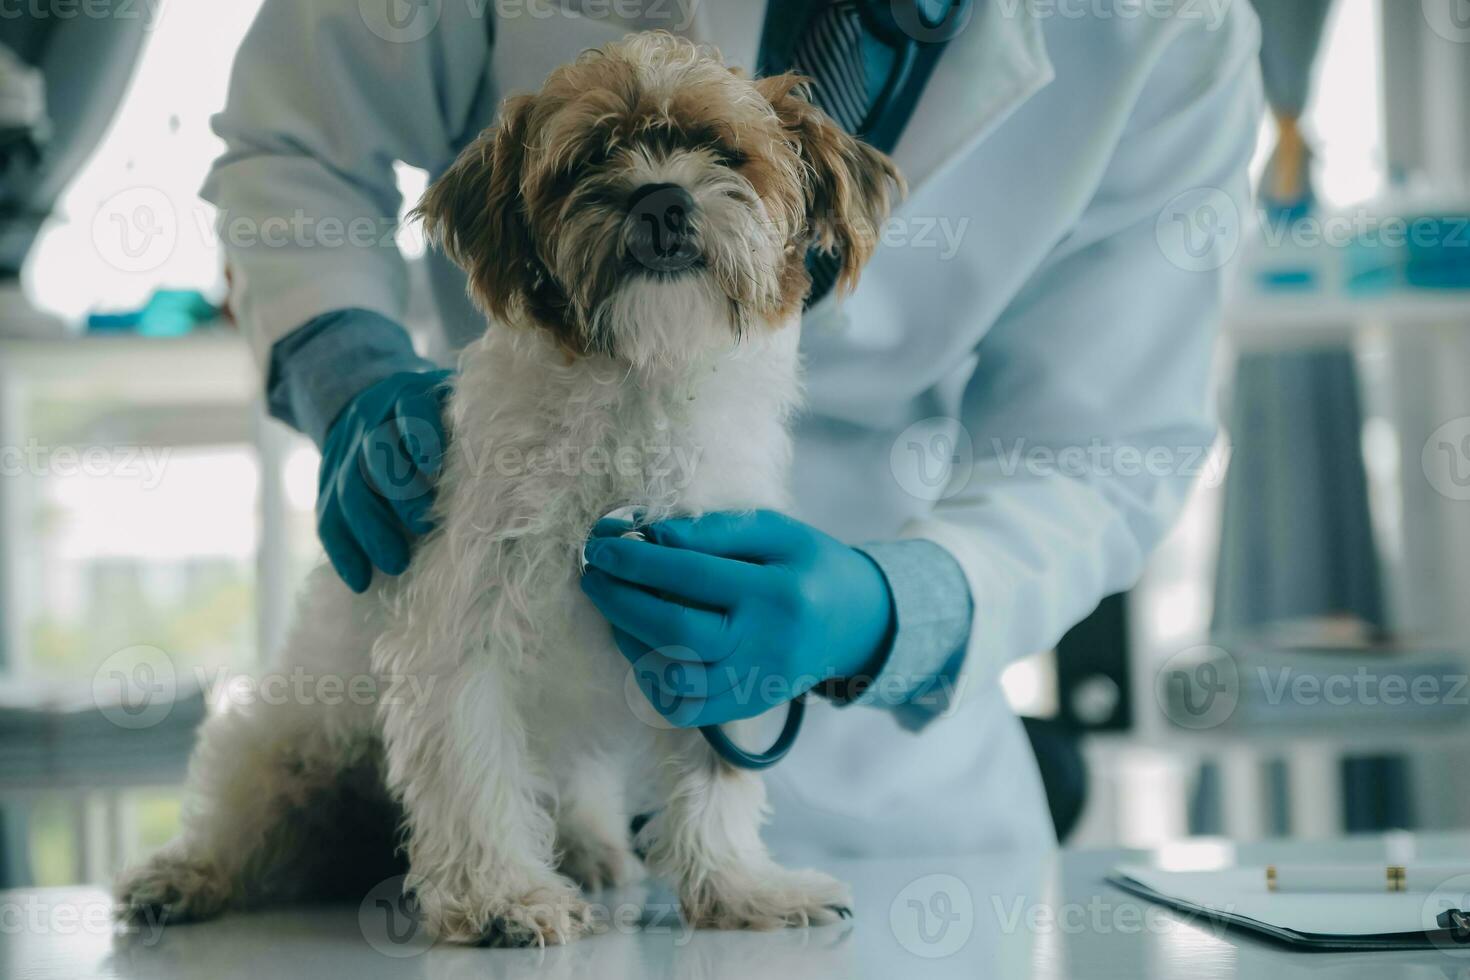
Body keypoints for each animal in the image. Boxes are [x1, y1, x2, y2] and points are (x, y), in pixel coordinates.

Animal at [117, 30, 893, 946]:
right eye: (591, 156)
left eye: (723, 151)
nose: (664, 200)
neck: (638, 383)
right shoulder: (463, 633)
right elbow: (473, 768)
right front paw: (503, 899)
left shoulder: (715, 624)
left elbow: (715, 778)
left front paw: (739, 887)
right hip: (283, 745)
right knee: (239, 819)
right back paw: (183, 875)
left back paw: (589, 850)